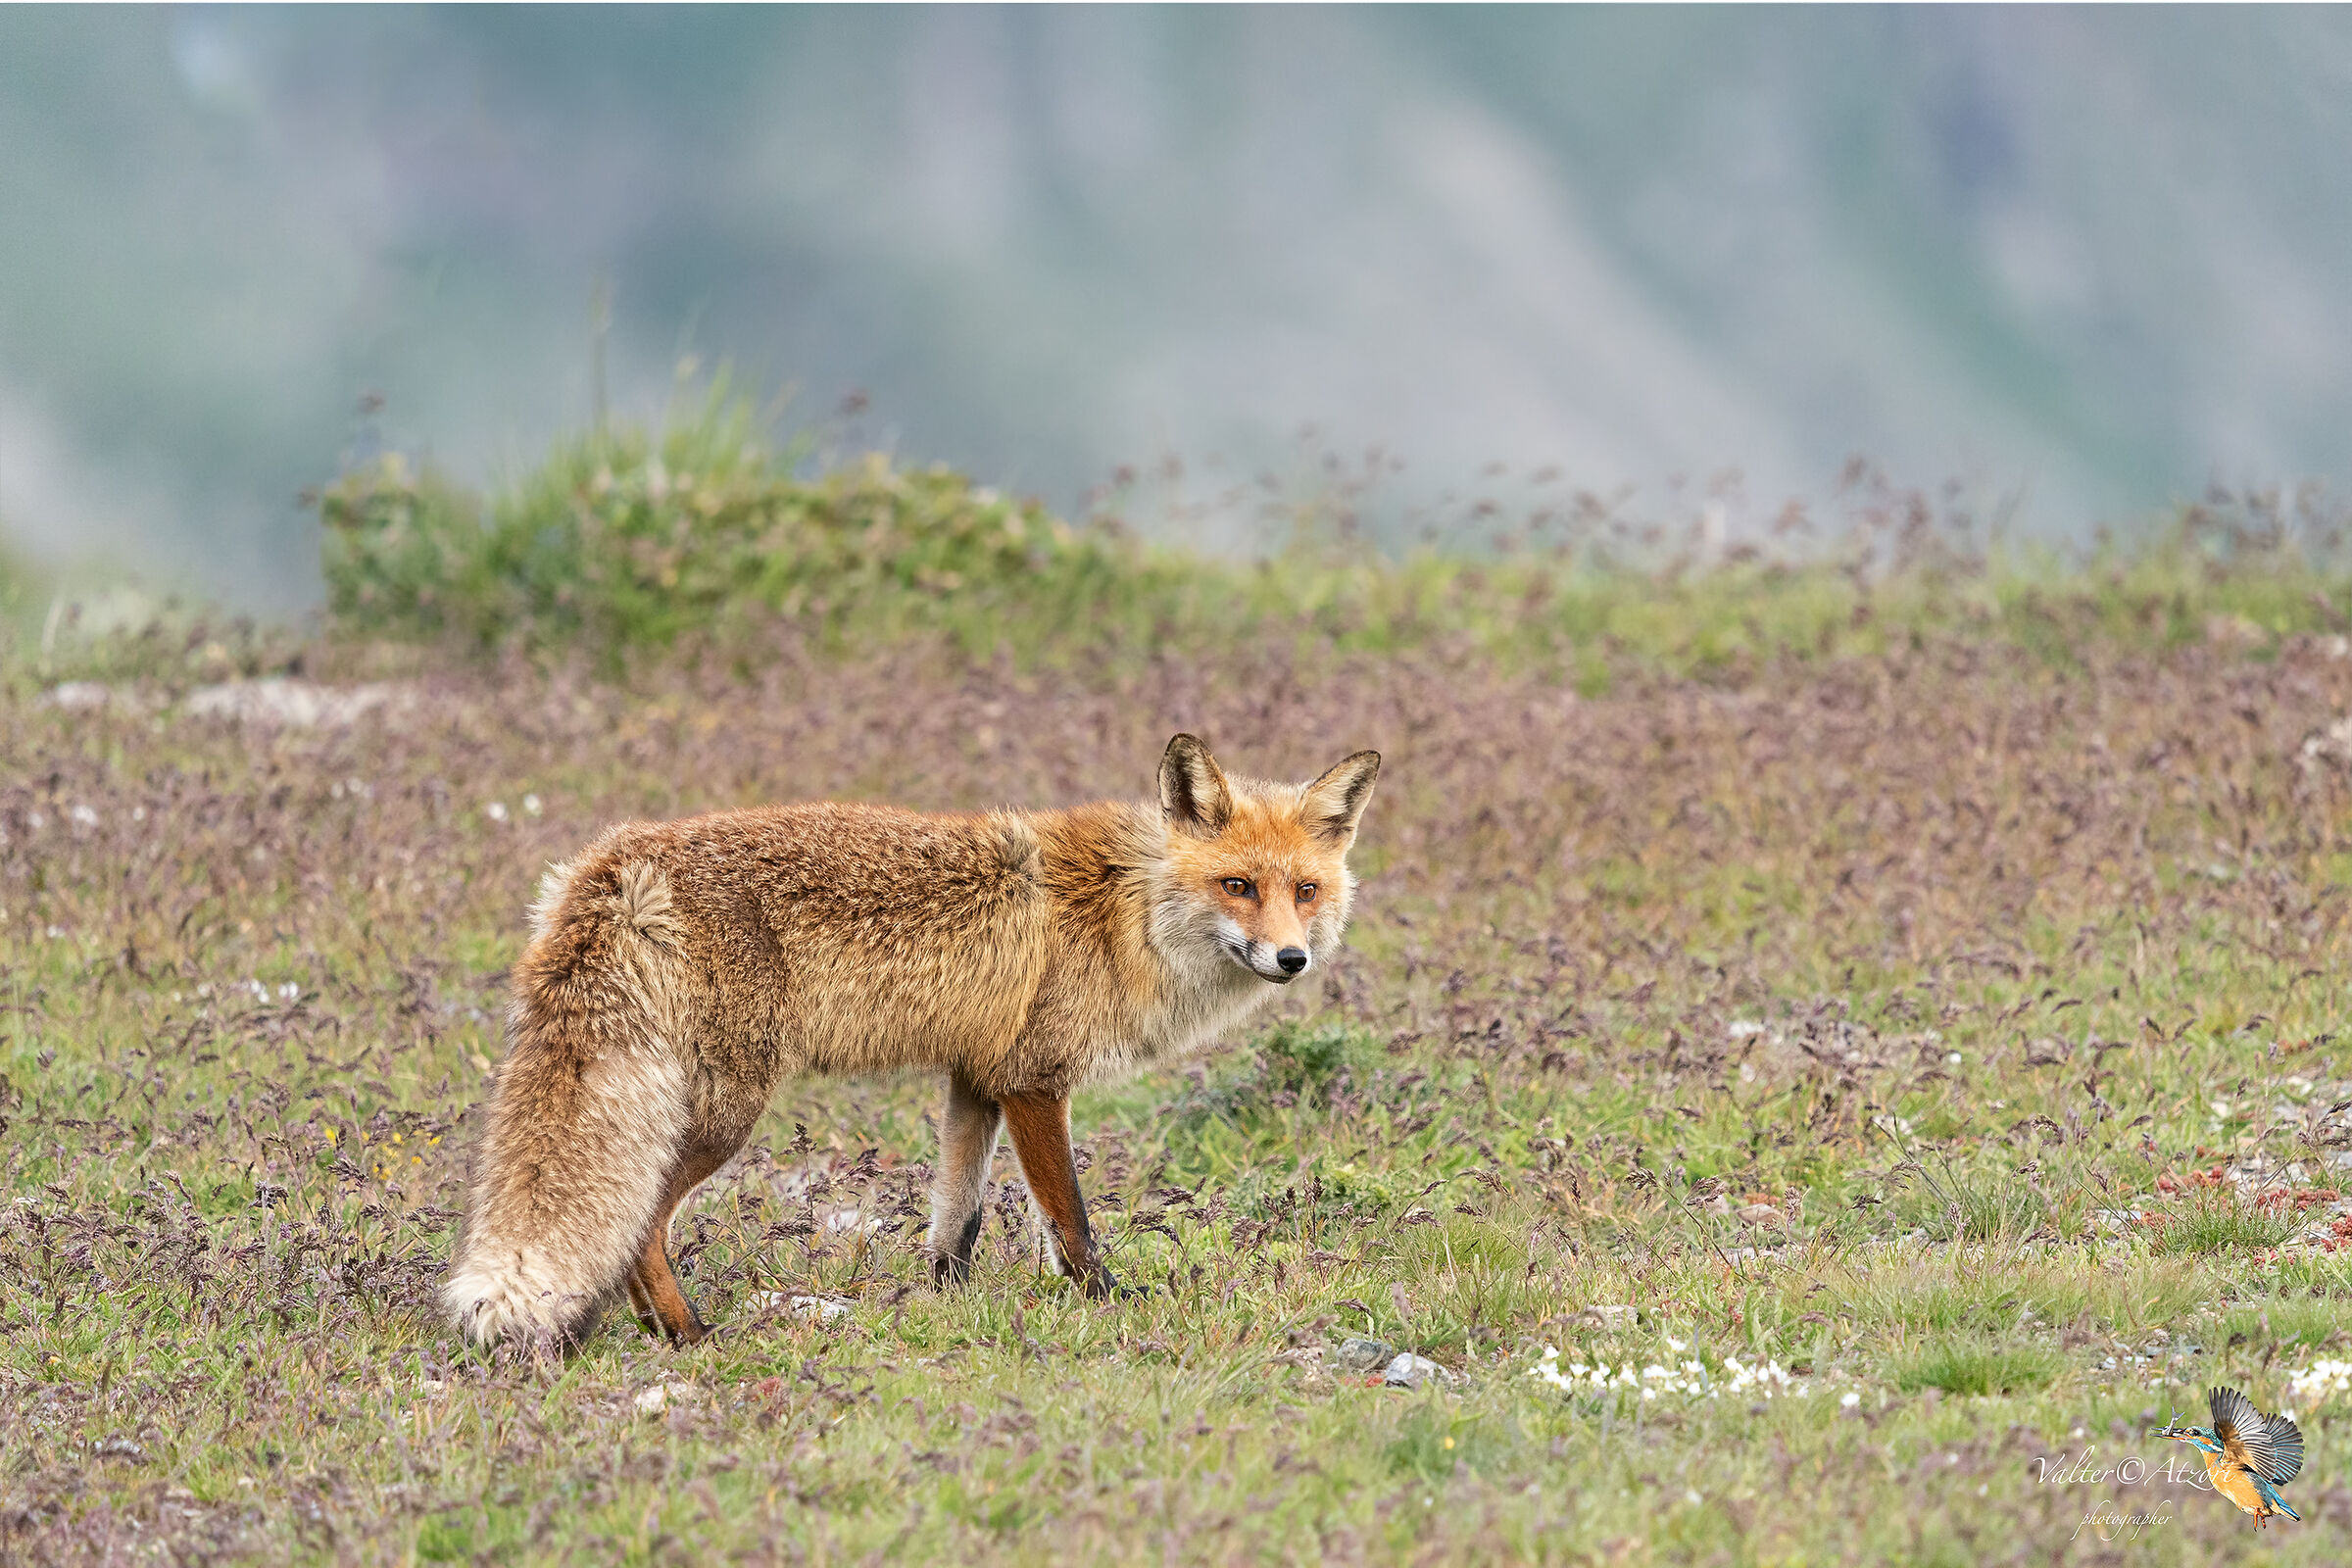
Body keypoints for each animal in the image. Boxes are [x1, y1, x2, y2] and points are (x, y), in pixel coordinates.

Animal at [443, 733, 1381, 1349]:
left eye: (1303, 890)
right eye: (1238, 886)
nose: (1291, 959)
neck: (1123, 914)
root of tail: (614, 862)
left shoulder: (978, 1079)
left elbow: (955, 1222)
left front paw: (945, 1307)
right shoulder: (1035, 1082)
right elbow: (1072, 1223)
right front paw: (1113, 1306)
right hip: (722, 1112)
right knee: (642, 1223)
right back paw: (688, 1334)